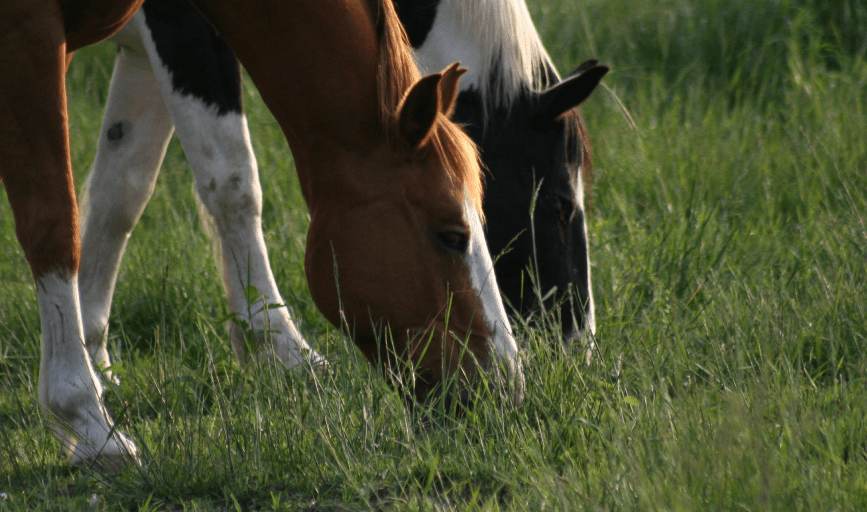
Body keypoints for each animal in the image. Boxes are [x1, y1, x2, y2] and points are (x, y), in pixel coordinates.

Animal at [0, 0, 521, 468]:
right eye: (451, 235)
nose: (506, 387)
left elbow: (123, 192)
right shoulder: (31, 38)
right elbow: (54, 223)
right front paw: (87, 420)